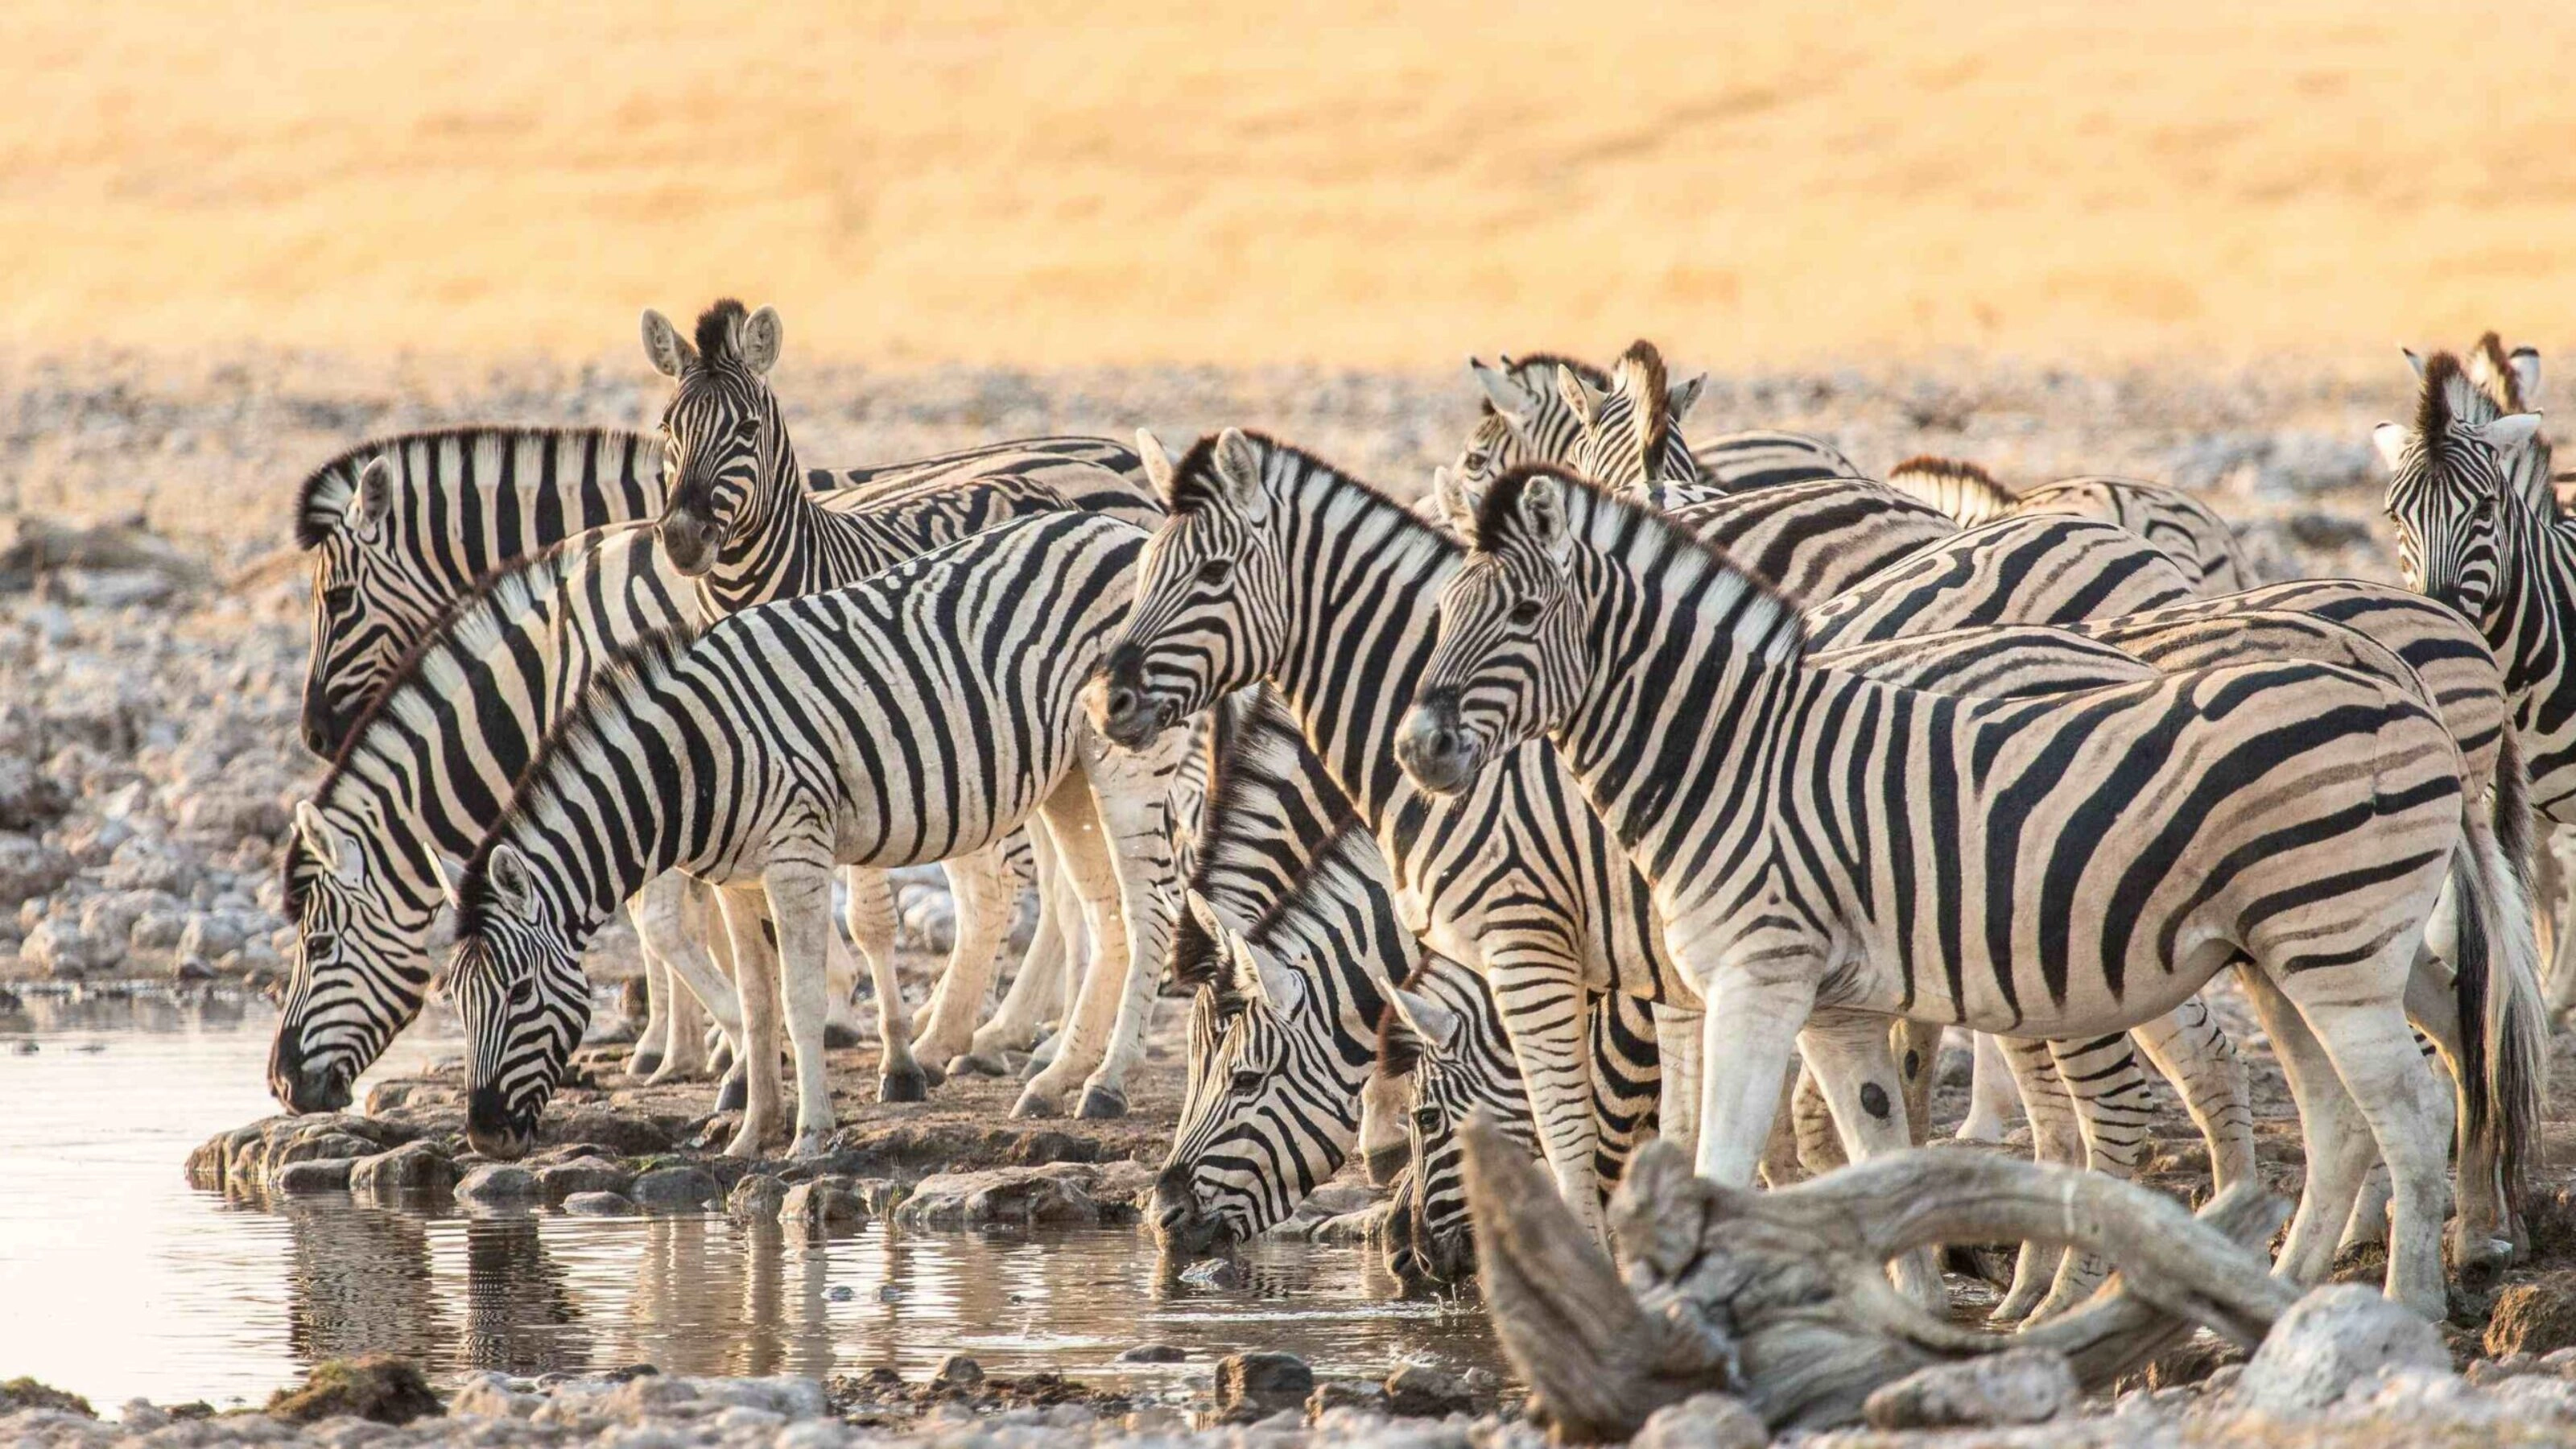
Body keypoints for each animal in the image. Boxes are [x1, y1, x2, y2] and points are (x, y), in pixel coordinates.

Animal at [446, 511, 1187, 1160]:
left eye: (518, 993)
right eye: (459, 1000)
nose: (485, 1137)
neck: (693, 761)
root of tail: (1122, 528)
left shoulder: (796, 858)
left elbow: (799, 1000)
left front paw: (810, 1135)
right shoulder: (736, 883)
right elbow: (756, 1003)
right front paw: (752, 1135)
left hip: (1125, 761)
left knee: (1148, 912)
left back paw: (1107, 1083)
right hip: (1069, 779)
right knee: (1106, 914)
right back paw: (1058, 1080)